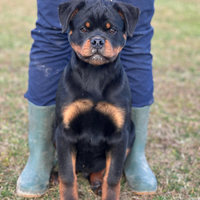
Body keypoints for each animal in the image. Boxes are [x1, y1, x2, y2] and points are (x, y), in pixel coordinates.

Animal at [53, 0, 141, 199]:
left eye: (112, 30)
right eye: (84, 29)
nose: (97, 41)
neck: (95, 74)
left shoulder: (119, 135)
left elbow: (113, 176)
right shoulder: (64, 132)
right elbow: (68, 175)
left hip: (131, 133)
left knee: (101, 170)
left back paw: (97, 182)